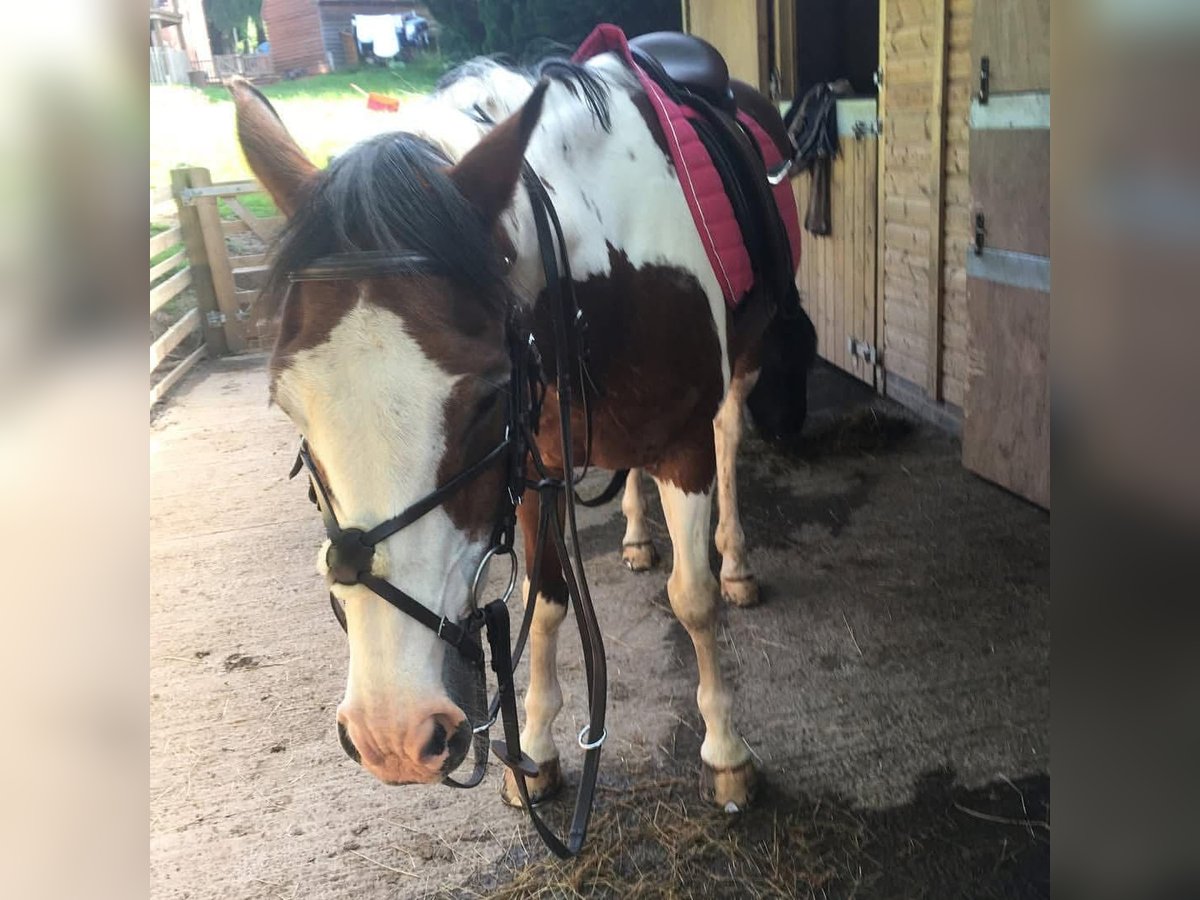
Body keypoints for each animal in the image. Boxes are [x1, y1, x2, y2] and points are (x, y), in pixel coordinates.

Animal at [231, 40, 816, 816]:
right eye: (288, 405)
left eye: (487, 397)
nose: (392, 731)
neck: (601, 271)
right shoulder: (533, 461)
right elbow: (544, 605)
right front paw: (535, 751)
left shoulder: (678, 448)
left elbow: (693, 600)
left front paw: (726, 752)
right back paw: (636, 536)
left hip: (742, 365)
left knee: (728, 438)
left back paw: (737, 560)